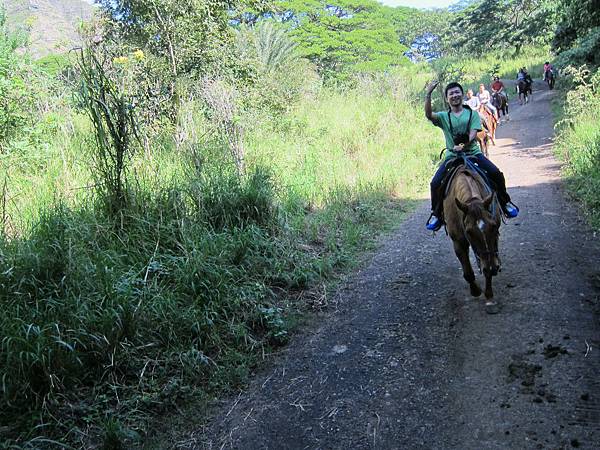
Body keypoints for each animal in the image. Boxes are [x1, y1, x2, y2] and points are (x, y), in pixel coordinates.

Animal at [440, 161, 502, 306]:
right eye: (469, 232)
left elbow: (489, 261)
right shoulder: (458, 242)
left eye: (493, 226)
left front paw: (488, 293)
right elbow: (468, 273)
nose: (492, 268)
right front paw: (476, 291)